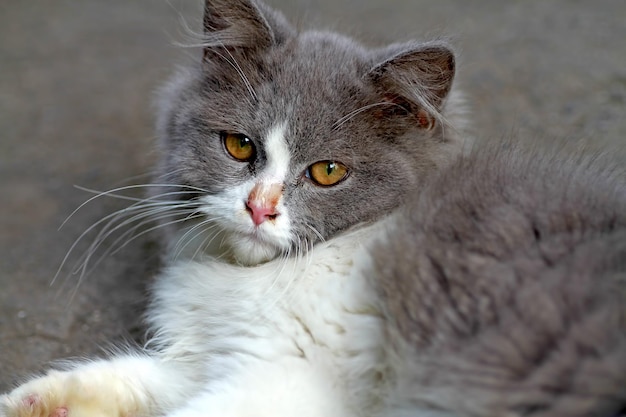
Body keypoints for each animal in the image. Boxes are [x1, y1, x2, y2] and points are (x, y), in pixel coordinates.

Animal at [0, 0, 620, 416]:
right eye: (239, 146)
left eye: (327, 172)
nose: (259, 208)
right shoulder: (207, 360)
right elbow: (125, 377)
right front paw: (29, 400)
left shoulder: (283, 378)